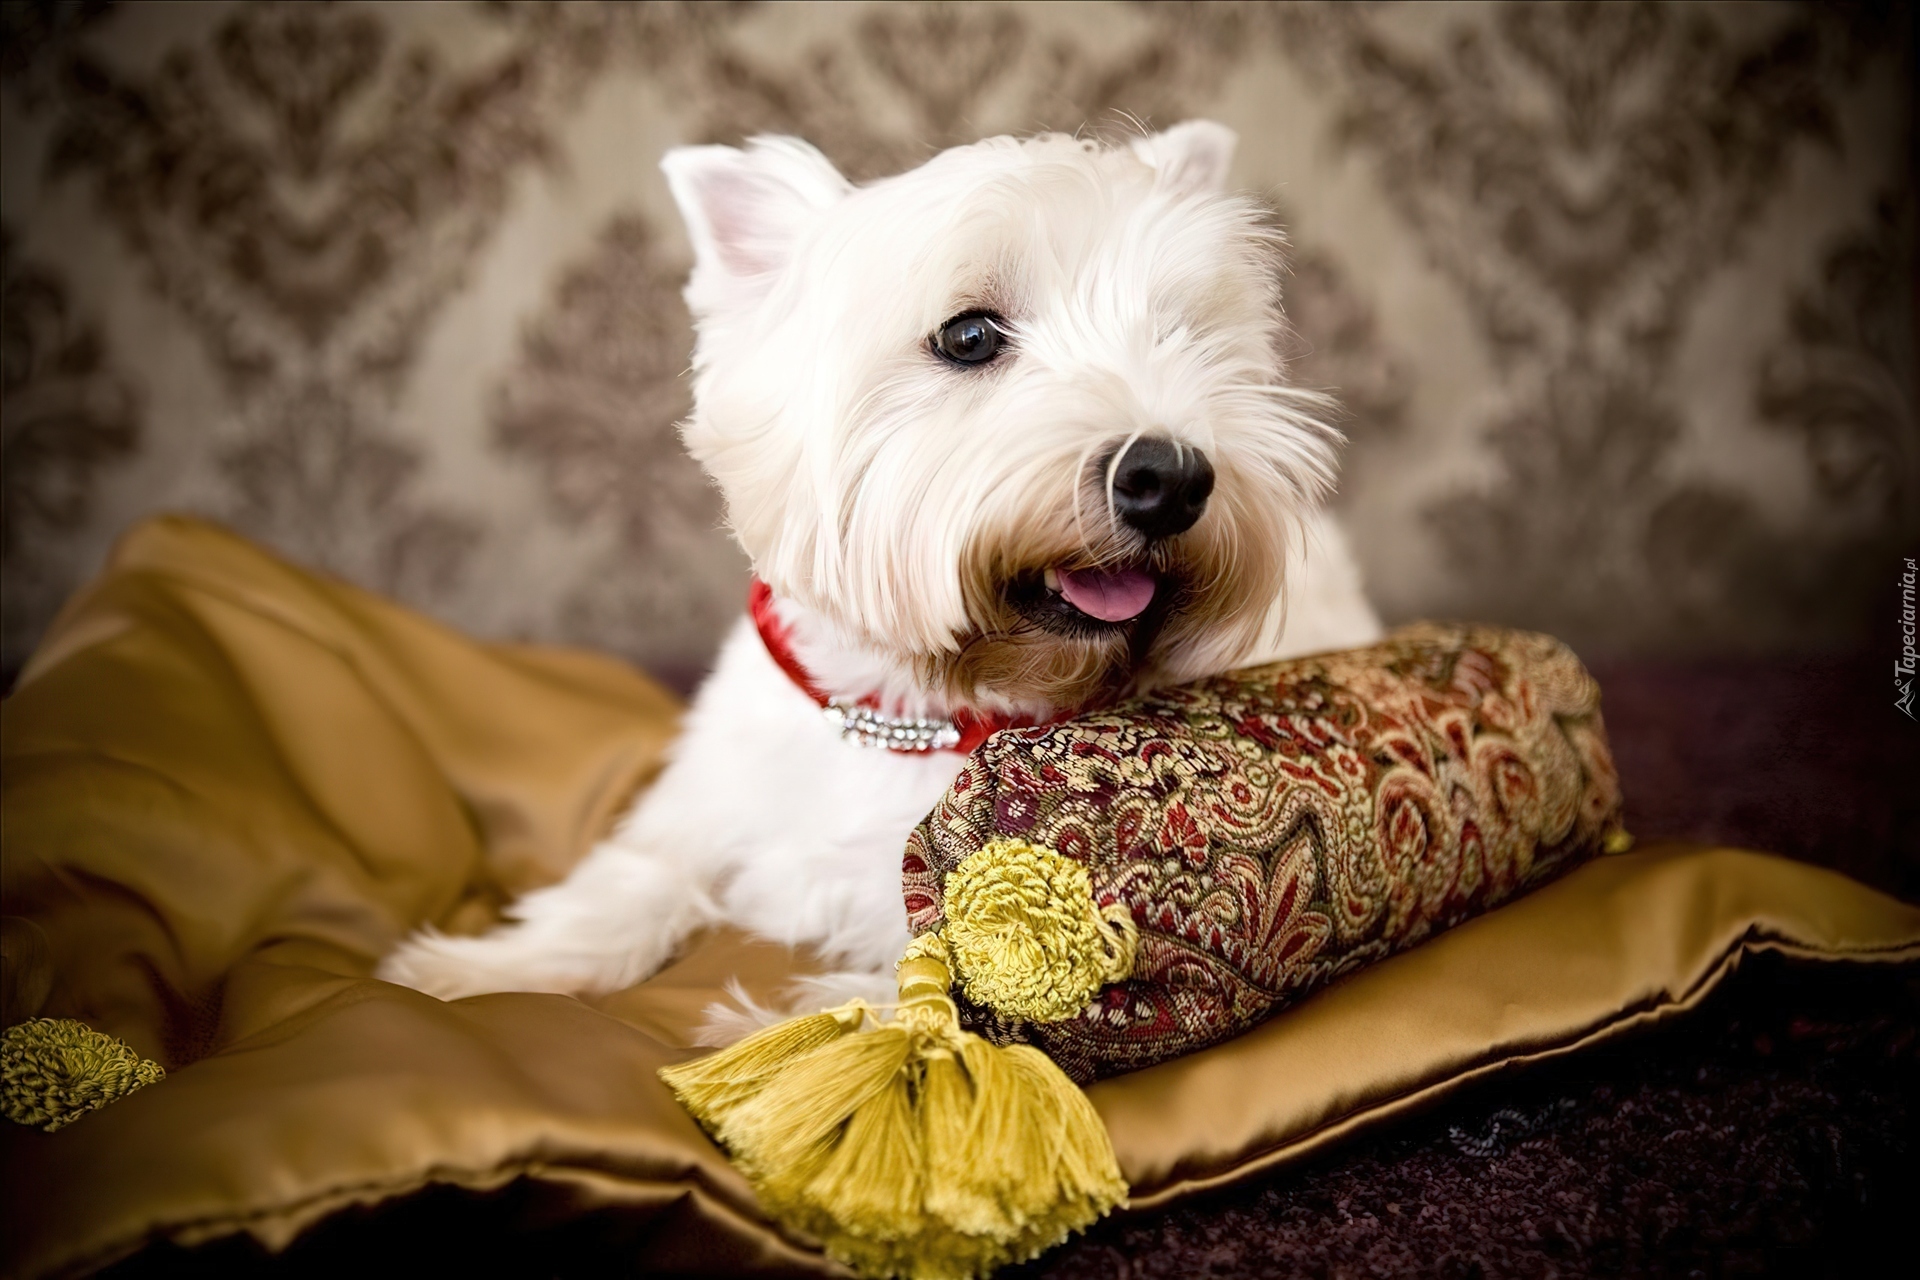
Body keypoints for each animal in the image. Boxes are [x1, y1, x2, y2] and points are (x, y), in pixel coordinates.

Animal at [378, 119, 1382, 1020]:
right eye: (970, 337)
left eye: (1182, 336)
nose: (1171, 479)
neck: (913, 713)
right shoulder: (704, 804)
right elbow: (627, 879)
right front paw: (465, 970)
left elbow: (897, 1007)